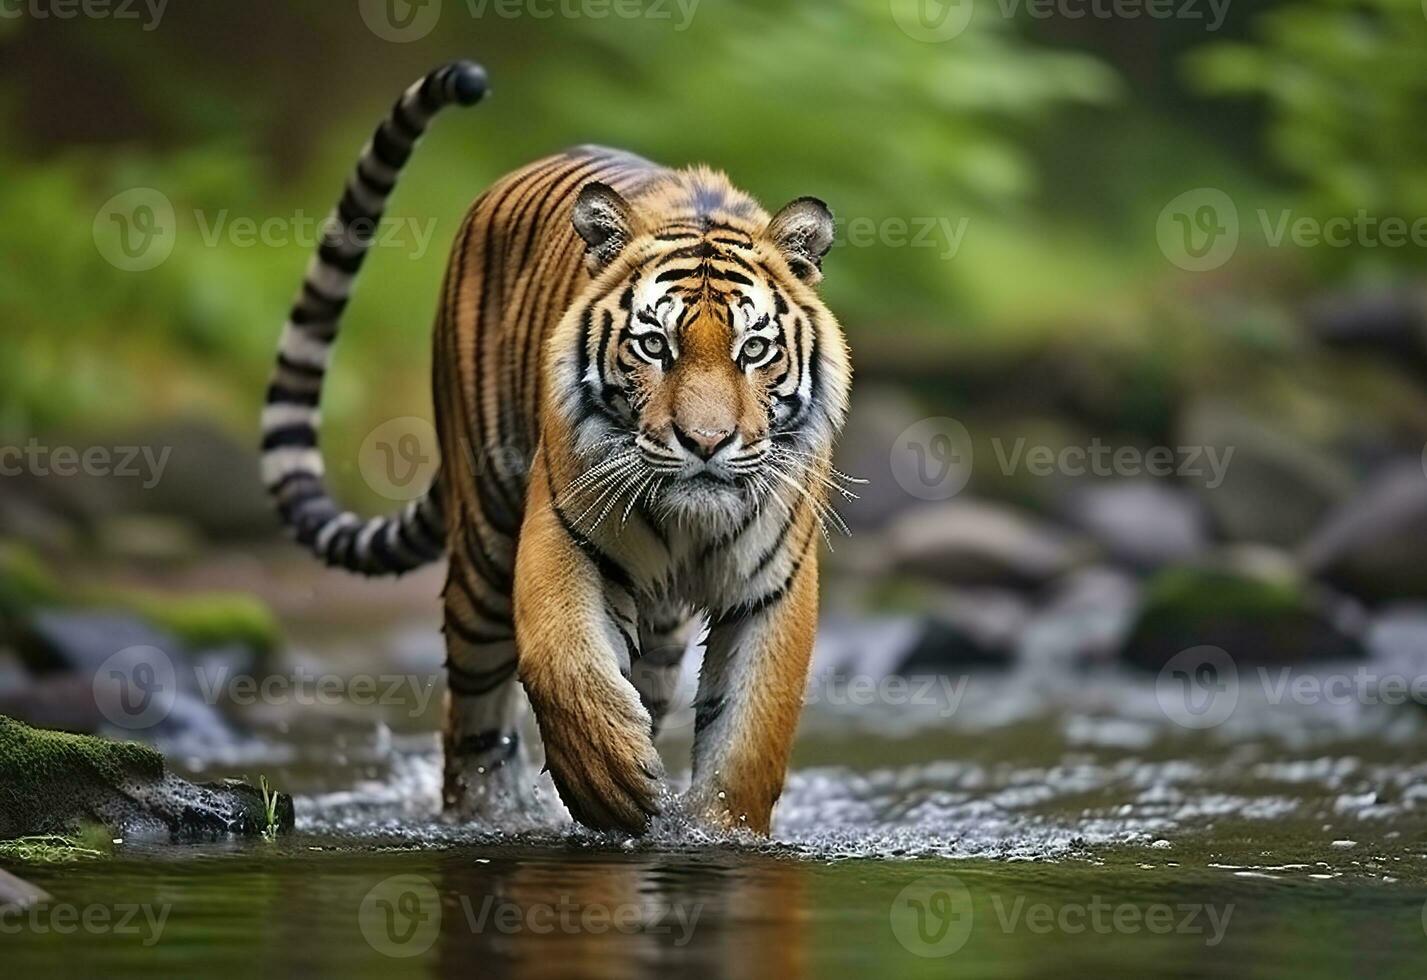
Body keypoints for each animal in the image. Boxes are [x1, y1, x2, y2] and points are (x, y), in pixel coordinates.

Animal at [259, 57, 844, 833]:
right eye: (654, 346)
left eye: (754, 350)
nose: (706, 442)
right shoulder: (561, 533)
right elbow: (564, 660)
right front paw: (610, 781)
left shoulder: (772, 587)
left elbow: (748, 737)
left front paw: (714, 828)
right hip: (482, 548)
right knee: (473, 724)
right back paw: (488, 814)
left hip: (655, 628)